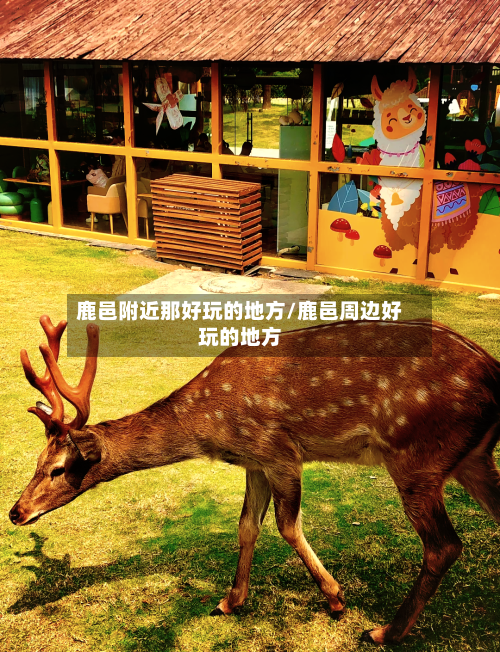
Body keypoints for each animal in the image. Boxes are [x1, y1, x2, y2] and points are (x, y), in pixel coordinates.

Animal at [9, 314, 500, 645]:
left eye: (57, 469)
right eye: (35, 460)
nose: (16, 511)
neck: (209, 426)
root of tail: (493, 372)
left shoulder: (279, 450)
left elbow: (287, 525)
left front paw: (336, 598)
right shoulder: (254, 462)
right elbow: (247, 526)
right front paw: (231, 600)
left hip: (416, 456)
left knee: (444, 544)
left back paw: (384, 632)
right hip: (472, 460)